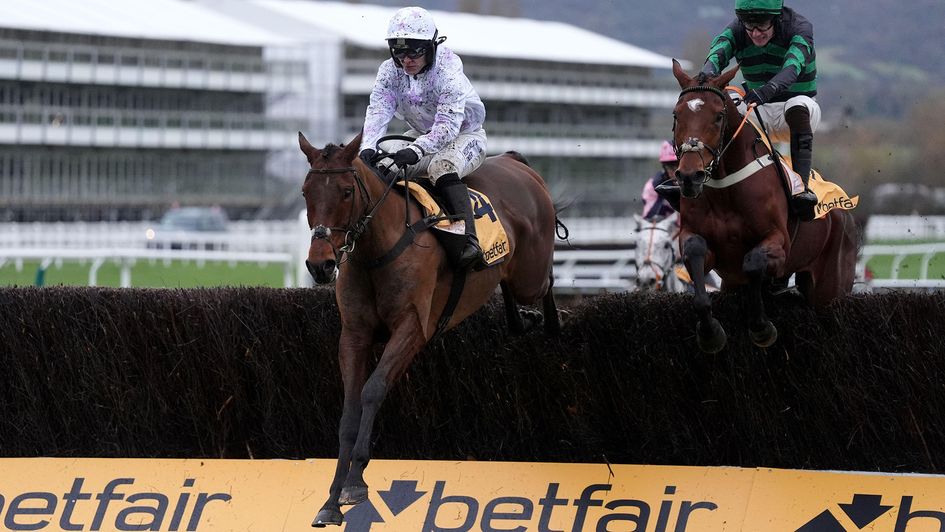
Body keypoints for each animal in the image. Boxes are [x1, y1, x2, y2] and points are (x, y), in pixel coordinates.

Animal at [298, 131, 556, 524]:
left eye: (345, 191)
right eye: (305, 192)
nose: (321, 265)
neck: (378, 250)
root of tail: (515, 162)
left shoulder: (413, 328)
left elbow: (373, 390)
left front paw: (355, 483)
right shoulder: (354, 335)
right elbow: (349, 409)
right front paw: (331, 501)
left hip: (532, 273)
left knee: (547, 279)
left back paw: (550, 322)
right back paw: (521, 321)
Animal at [668, 60, 860, 354]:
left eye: (718, 116)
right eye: (677, 115)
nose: (690, 176)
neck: (725, 188)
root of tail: (844, 212)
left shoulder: (779, 244)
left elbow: (753, 262)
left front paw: (761, 328)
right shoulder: (701, 243)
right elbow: (695, 254)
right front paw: (710, 333)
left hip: (831, 289)